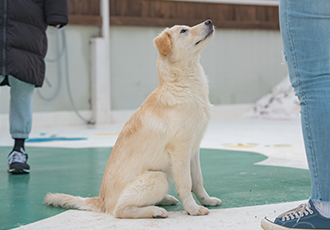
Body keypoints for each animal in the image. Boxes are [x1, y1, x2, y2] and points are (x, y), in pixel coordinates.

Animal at [44, 19, 222, 217]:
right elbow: (186, 183)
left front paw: (207, 200)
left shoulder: (194, 149)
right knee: (120, 210)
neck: (183, 85)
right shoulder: (180, 150)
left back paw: (164, 199)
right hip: (159, 177)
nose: (209, 21)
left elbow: (198, 180)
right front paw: (192, 208)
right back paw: (155, 210)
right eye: (184, 31)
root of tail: (101, 201)